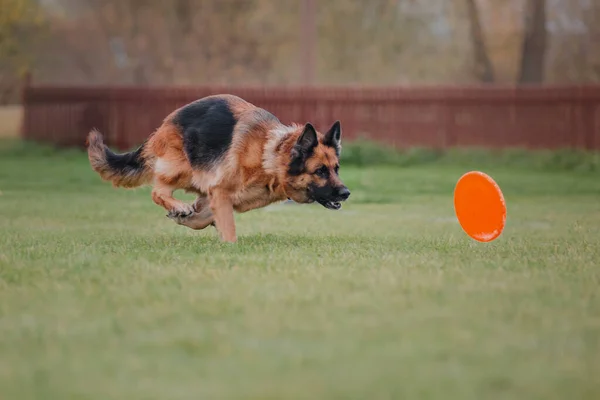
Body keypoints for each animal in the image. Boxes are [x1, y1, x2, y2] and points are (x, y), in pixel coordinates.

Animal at [89, 95, 352, 242]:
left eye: (336, 168)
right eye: (320, 171)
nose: (346, 193)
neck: (270, 157)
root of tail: (164, 124)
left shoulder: (215, 197)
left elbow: (204, 218)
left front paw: (188, 218)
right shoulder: (221, 192)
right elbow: (228, 230)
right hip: (181, 169)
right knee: (158, 191)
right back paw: (177, 205)